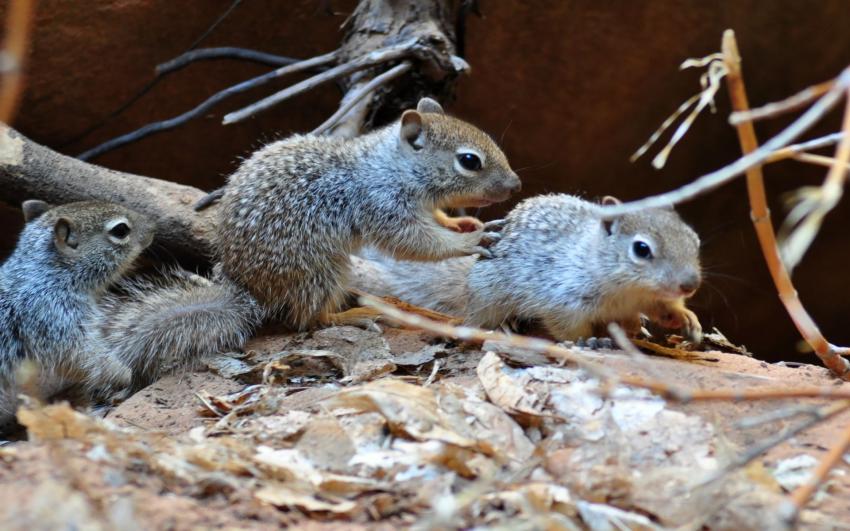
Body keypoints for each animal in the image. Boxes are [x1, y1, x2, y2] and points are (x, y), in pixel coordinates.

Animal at [0, 197, 152, 426]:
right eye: (121, 230)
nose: (154, 227)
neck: (45, 273)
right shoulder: (53, 318)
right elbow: (85, 359)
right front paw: (124, 374)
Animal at [215, 95, 520, 328]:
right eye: (469, 161)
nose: (515, 184)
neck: (393, 167)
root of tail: (248, 285)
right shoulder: (381, 205)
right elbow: (417, 242)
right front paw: (470, 239)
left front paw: (461, 223)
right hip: (319, 269)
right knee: (310, 318)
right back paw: (355, 314)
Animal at [352, 193, 704, 342]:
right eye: (641, 249)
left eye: (694, 239)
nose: (690, 284)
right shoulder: (562, 298)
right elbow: (566, 327)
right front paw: (585, 342)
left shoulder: (651, 298)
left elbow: (664, 309)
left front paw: (686, 319)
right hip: (489, 295)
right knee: (480, 317)